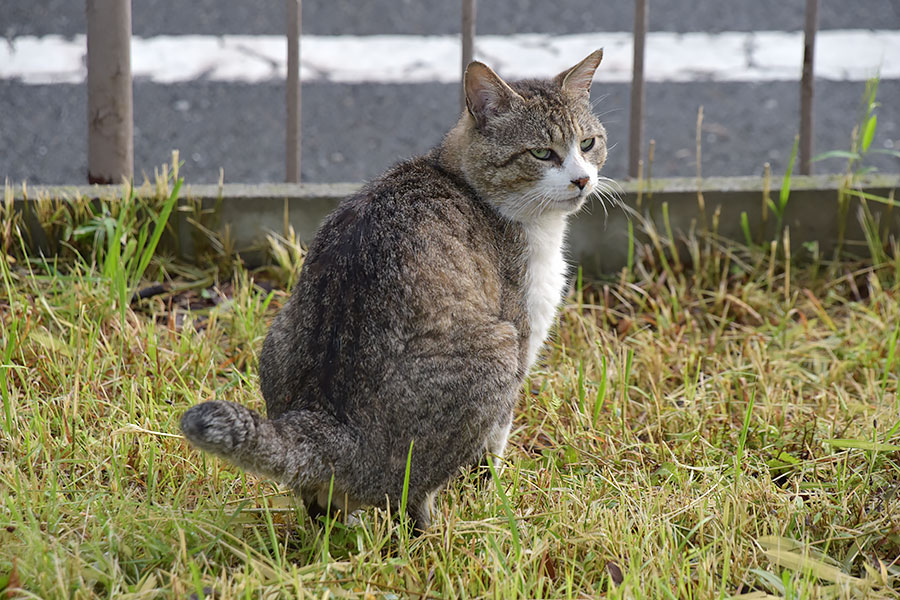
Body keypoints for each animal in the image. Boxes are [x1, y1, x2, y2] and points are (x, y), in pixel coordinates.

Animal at [179, 49, 608, 532]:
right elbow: (494, 443)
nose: (582, 180)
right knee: (410, 496)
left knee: (320, 503)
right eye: (541, 153)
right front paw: (492, 494)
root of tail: (329, 423)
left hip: (279, 330)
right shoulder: (521, 333)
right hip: (495, 348)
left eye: (588, 144)